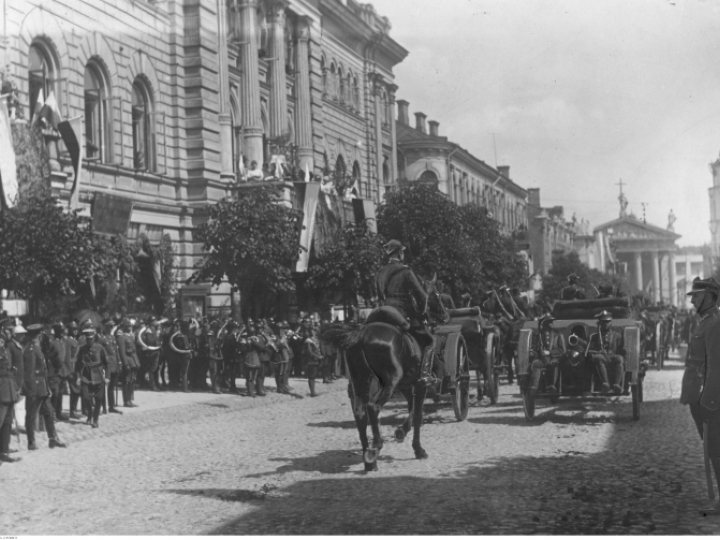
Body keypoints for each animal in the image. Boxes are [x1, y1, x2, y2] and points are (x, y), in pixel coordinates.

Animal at [320, 276, 444, 470]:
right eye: (437, 294)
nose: (444, 314)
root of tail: (361, 333)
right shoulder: (419, 384)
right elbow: (418, 414)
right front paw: (418, 448)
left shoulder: (406, 386)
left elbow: (411, 408)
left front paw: (402, 431)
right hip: (389, 383)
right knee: (373, 407)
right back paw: (376, 446)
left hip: (360, 384)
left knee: (361, 414)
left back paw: (369, 460)